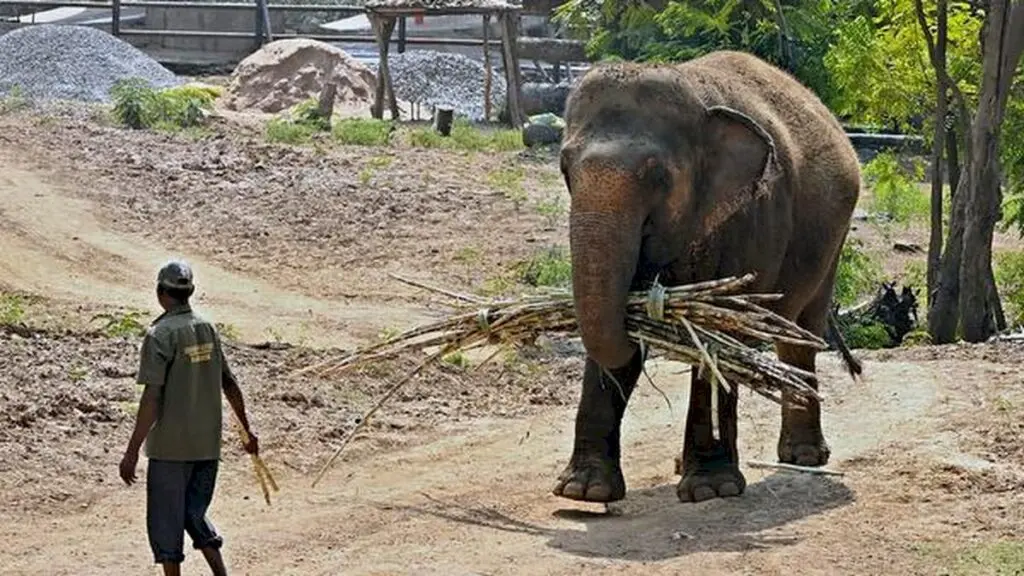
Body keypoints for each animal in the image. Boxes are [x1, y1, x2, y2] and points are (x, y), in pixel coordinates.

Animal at [552, 50, 863, 504]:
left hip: (832, 242)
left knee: (801, 332)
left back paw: (804, 457)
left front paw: (711, 490)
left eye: (657, 175)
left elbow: (718, 336)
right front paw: (583, 490)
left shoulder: (753, 215)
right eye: (565, 169)